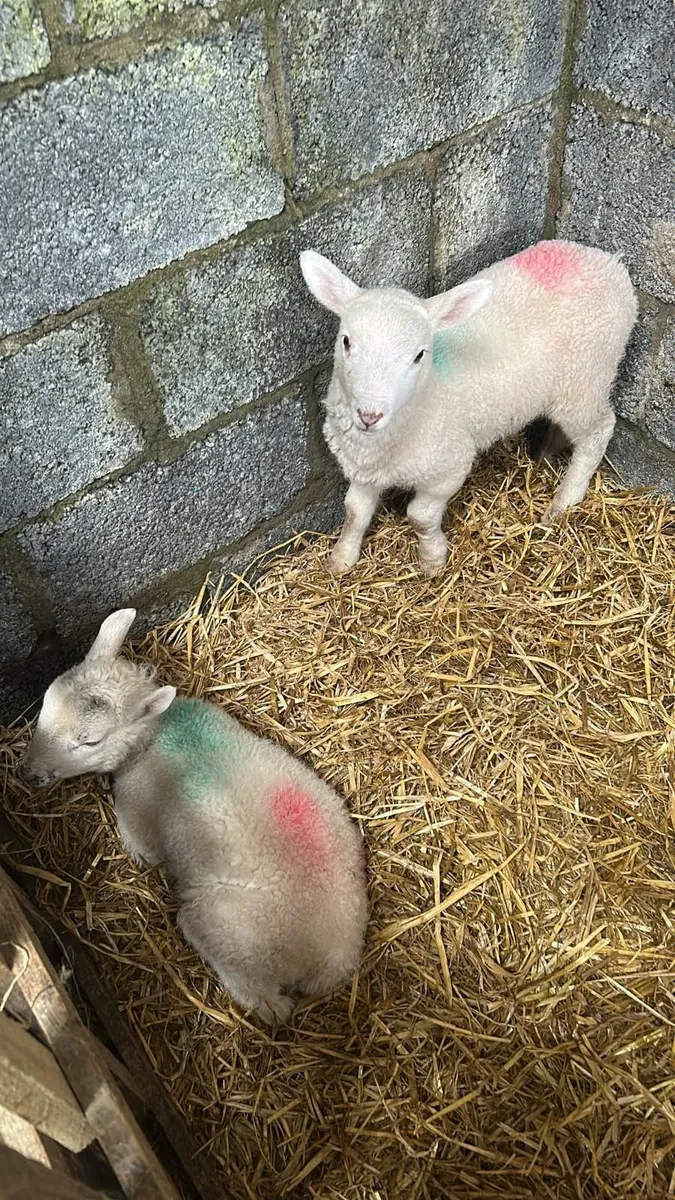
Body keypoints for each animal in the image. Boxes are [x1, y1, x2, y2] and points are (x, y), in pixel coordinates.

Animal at [20, 609, 368, 1025]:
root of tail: (324, 961)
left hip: (226, 932)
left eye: (90, 741)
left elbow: (144, 848)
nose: (30, 773)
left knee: (260, 995)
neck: (154, 734)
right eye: (46, 703)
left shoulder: (136, 812)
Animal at [300, 240, 637, 576]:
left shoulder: (449, 468)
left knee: (599, 431)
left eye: (419, 355)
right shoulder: (363, 467)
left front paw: (432, 561)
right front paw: (341, 560)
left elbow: (420, 517)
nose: (369, 416)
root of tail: (609, 262)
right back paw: (546, 454)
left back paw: (564, 502)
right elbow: (354, 511)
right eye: (346, 341)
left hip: (585, 379)